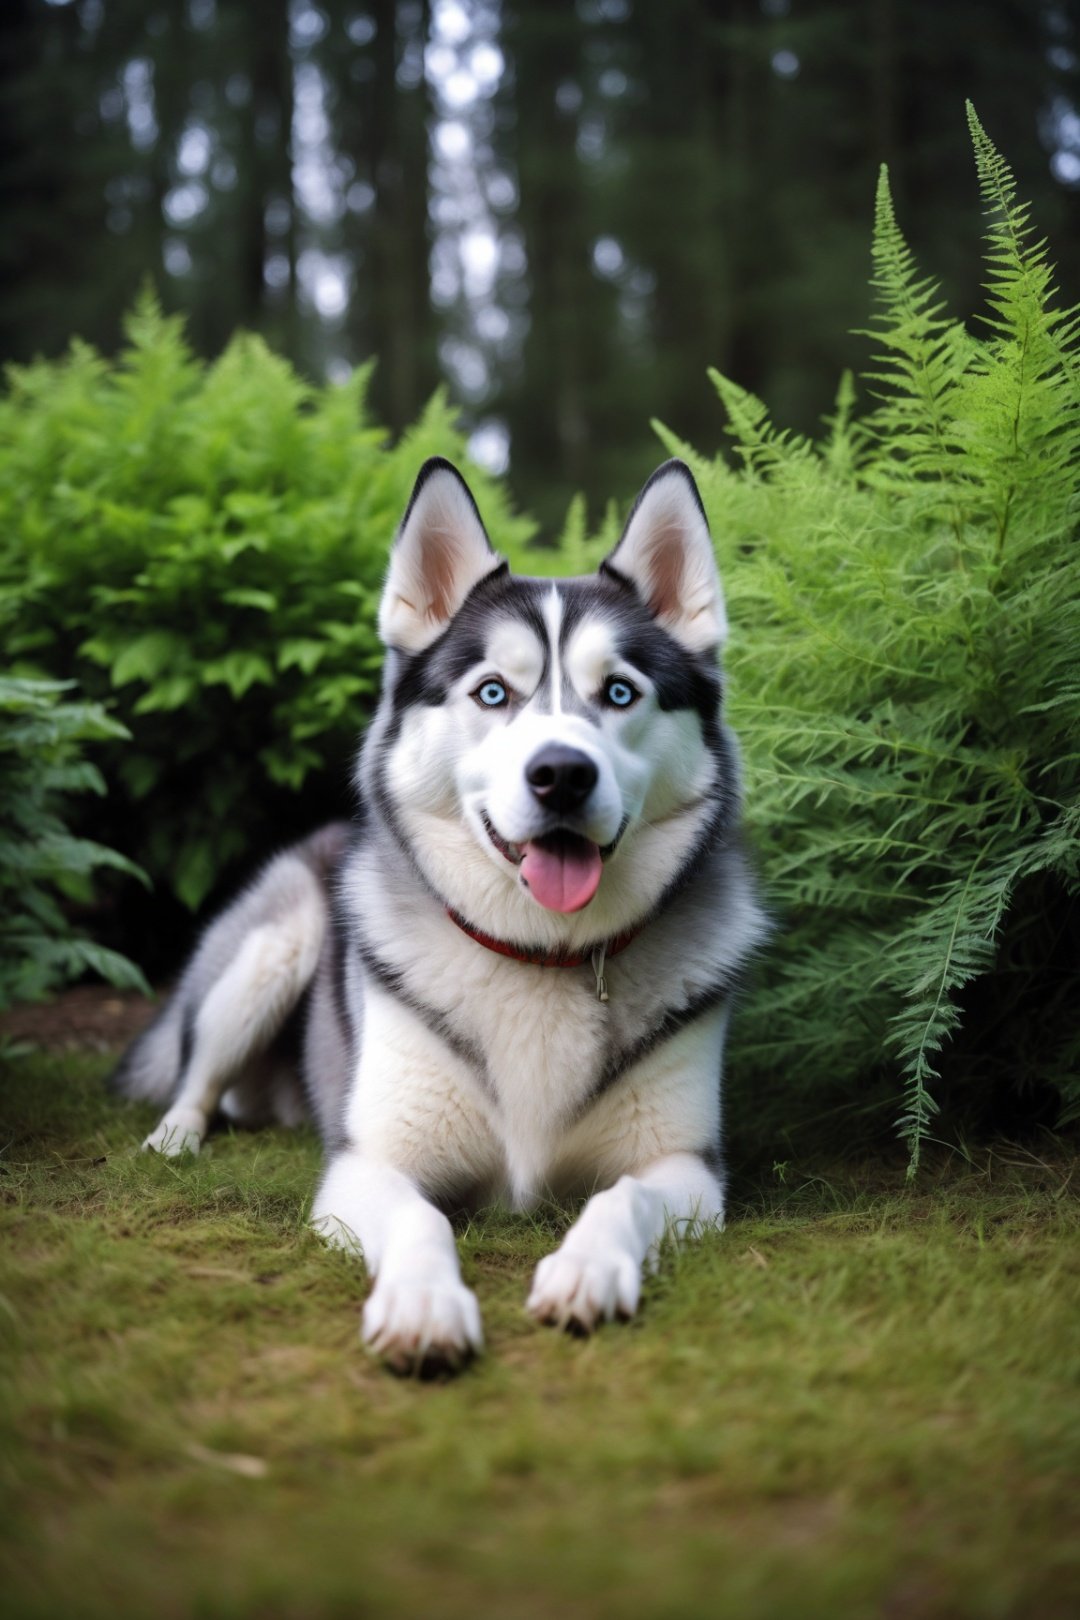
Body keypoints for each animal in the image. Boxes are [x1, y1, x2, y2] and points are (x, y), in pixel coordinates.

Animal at [114, 456, 764, 1367]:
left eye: (619, 692)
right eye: (492, 691)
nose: (561, 774)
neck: (541, 954)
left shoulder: (687, 1166)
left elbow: (620, 1198)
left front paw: (587, 1271)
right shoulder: (368, 1163)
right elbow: (420, 1217)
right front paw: (424, 1305)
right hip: (273, 946)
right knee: (194, 1075)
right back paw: (175, 1138)